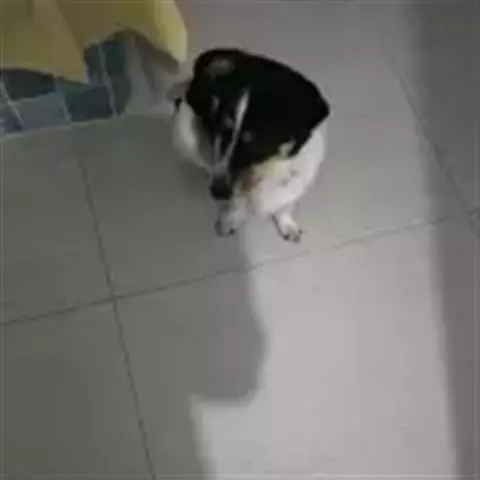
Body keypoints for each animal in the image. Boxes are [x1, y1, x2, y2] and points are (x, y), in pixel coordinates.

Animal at [172, 48, 330, 242]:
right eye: (223, 129)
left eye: (257, 142)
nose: (217, 192)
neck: (267, 166)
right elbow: (235, 205)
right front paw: (229, 220)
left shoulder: (294, 182)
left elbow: (284, 206)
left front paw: (287, 224)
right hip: (183, 130)